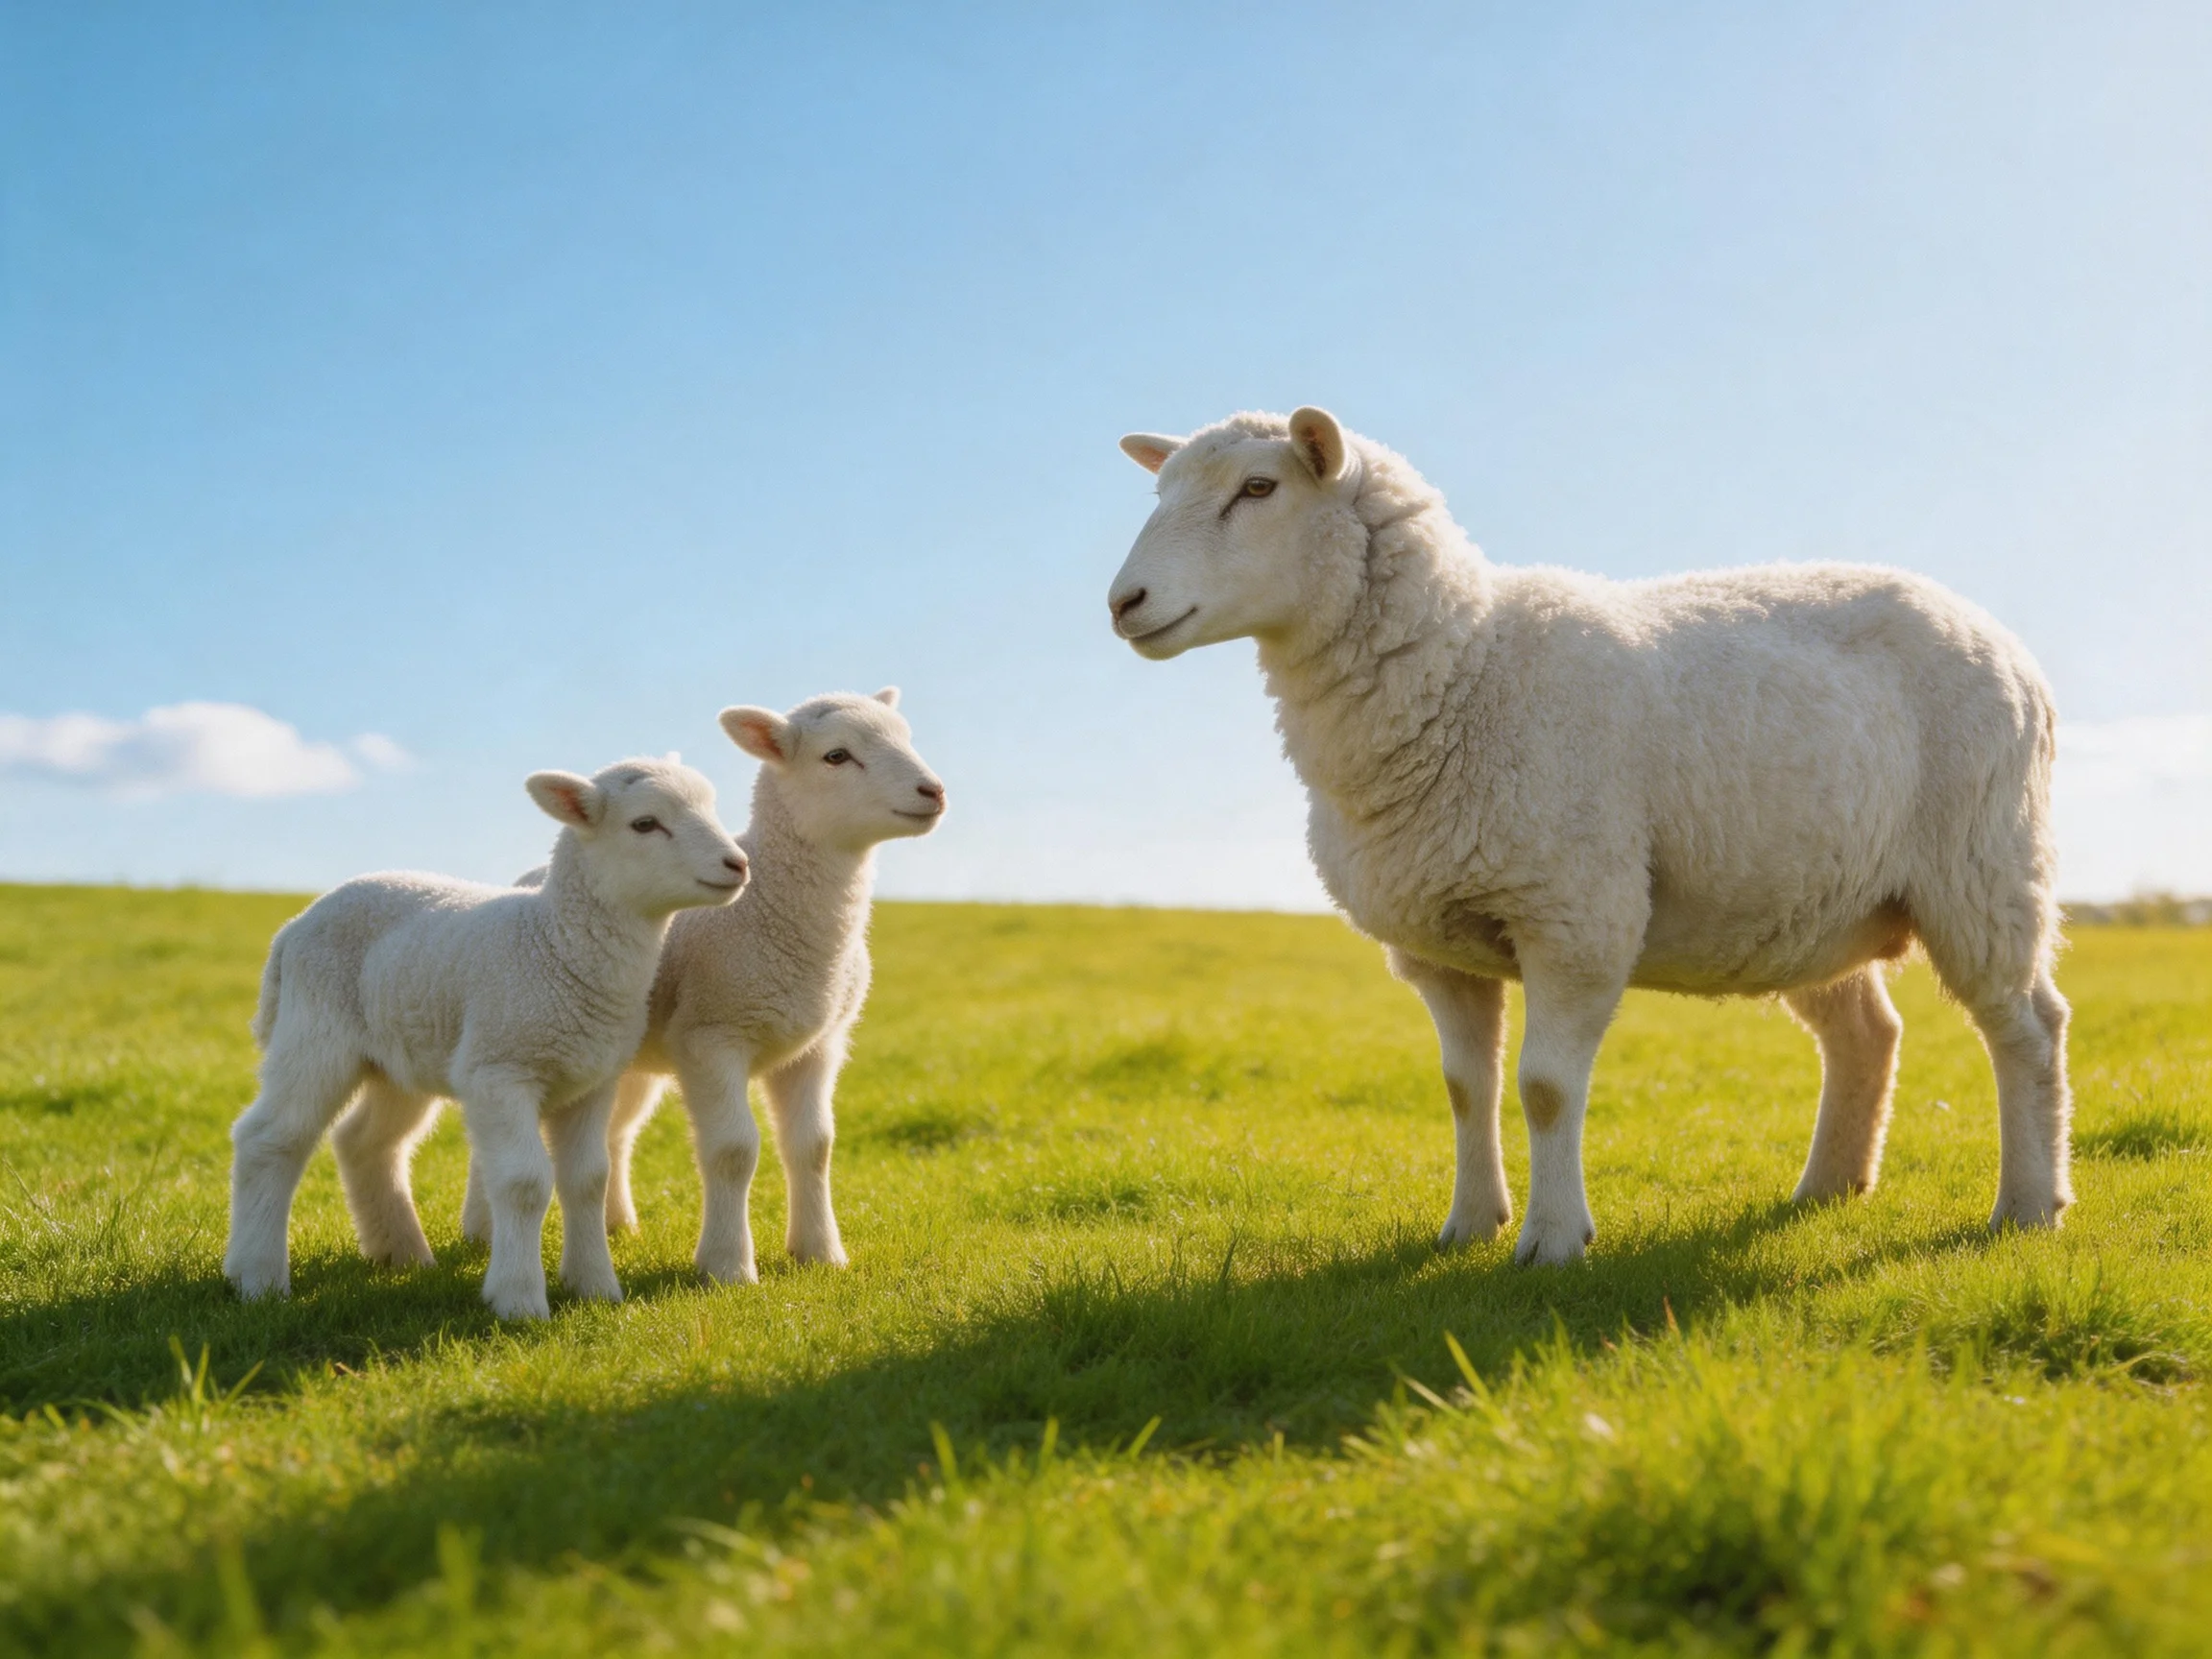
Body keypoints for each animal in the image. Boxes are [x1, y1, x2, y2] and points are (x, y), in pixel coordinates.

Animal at [224, 758, 749, 1319]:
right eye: (645, 824)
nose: (737, 864)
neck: (555, 944)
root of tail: (294, 925)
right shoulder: (499, 1071)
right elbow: (524, 1182)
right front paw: (519, 1300)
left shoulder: (592, 1080)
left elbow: (588, 1180)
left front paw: (594, 1287)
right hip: (316, 1033)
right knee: (269, 1139)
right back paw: (257, 1276)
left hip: (398, 1057)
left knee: (365, 1142)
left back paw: (401, 1254)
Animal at [459, 690, 946, 1283]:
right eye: (836, 756)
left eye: (906, 736)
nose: (933, 790)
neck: (779, 913)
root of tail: (532, 876)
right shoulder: (711, 1037)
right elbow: (734, 1150)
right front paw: (727, 1264)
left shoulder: (817, 1045)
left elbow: (814, 1146)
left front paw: (820, 1253)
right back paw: (481, 1232)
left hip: (625, 1061)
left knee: (616, 1133)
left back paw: (618, 1224)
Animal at [1108, 407, 2071, 1265]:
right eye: (1161, 490)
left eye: (1259, 488)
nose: (1123, 602)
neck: (1465, 666)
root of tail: (1999, 636)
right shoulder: (1437, 944)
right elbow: (1465, 1090)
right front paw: (1468, 1226)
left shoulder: (1574, 916)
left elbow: (1542, 1088)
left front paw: (1552, 1241)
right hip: (1813, 903)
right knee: (1868, 1033)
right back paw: (1829, 1187)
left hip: (1981, 865)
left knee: (2027, 1027)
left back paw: (2028, 1205)